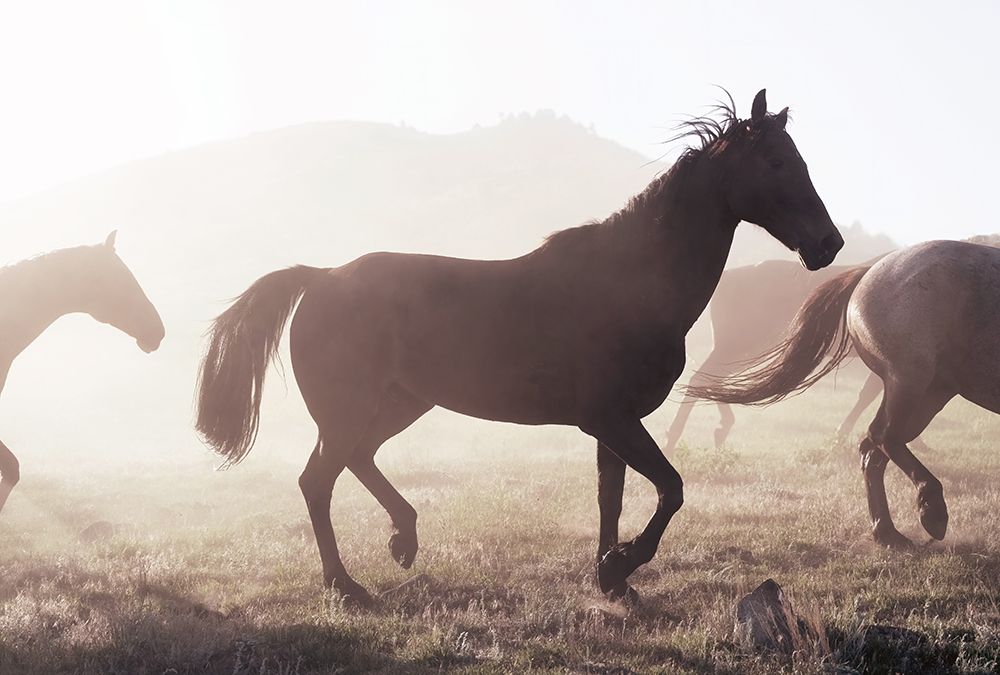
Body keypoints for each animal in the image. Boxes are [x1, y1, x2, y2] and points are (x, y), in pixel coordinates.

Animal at [195, 89, 844, 606]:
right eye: (778, 162)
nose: (829, 244)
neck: (631, 284)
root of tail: (321, 277)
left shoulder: (613, 424)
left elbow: (612, 498)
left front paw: (612, 578)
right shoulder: (612, 419)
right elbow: (671, 490)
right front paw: (621, 564)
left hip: (401, 404)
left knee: (355, 461)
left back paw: (403, 539)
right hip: (351, 411)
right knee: (318, 481)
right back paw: (347, 584)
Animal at [663, 260, 925, 452]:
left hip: (746, 348)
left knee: (712, 379)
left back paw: (718, 428)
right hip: (740, 344)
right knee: (703, 377)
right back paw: (675, 438)